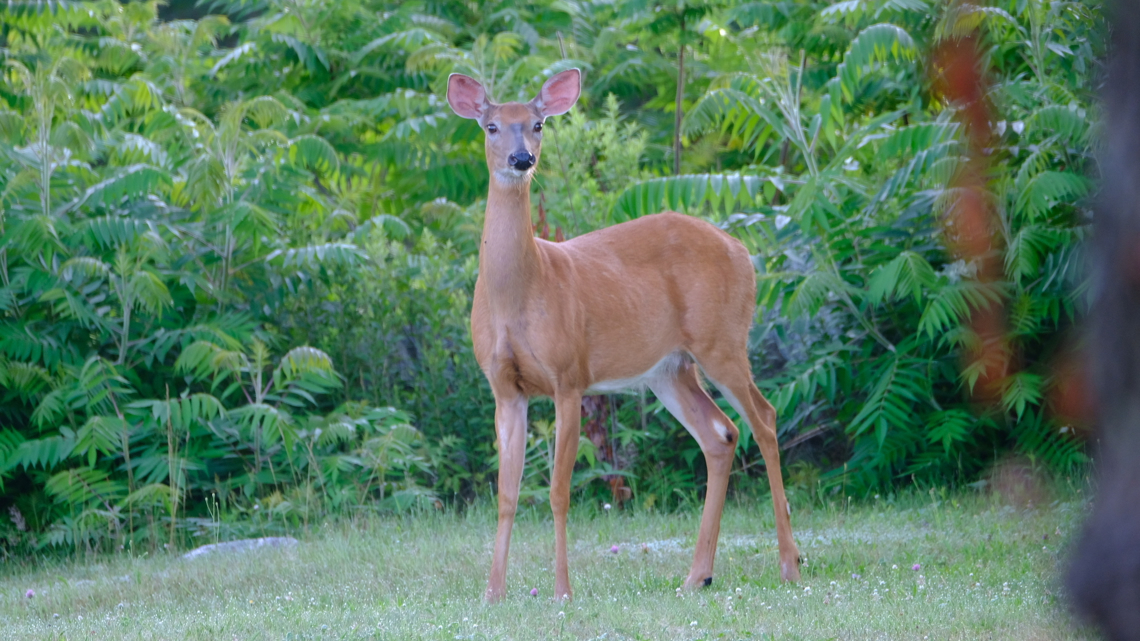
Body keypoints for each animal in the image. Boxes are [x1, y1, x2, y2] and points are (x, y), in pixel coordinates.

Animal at [444, 67, 802, 602]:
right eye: (491, 126)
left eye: (538, 124)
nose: (521, 159)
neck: (519, 293)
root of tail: (742, 249)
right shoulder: (505, 387)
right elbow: (507, 493)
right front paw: (493, 593)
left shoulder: (569, 376)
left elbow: (558, 490)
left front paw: (562, 590)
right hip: (669, 369)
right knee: (721, 434)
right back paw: (697, 575)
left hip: (722, 340)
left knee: (765, 418)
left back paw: (789, 564)